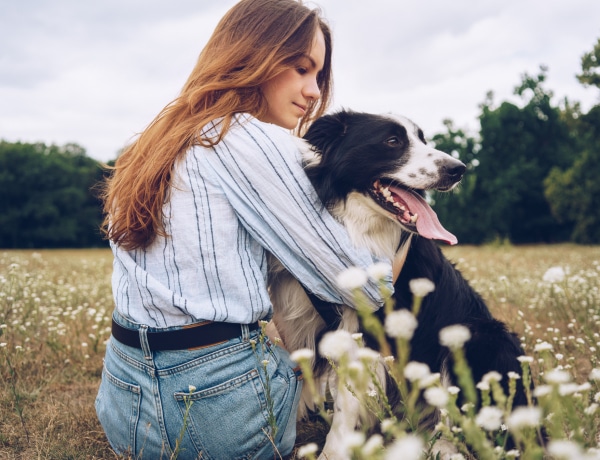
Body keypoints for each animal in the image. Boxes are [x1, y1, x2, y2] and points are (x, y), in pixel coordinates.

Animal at [268, 109, 524, 458]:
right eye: (392, 141)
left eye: (423, 140)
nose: (458, 169)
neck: (359, 227)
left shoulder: (366, 329)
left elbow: (346, 409)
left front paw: (331, 453)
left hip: (480, 334)